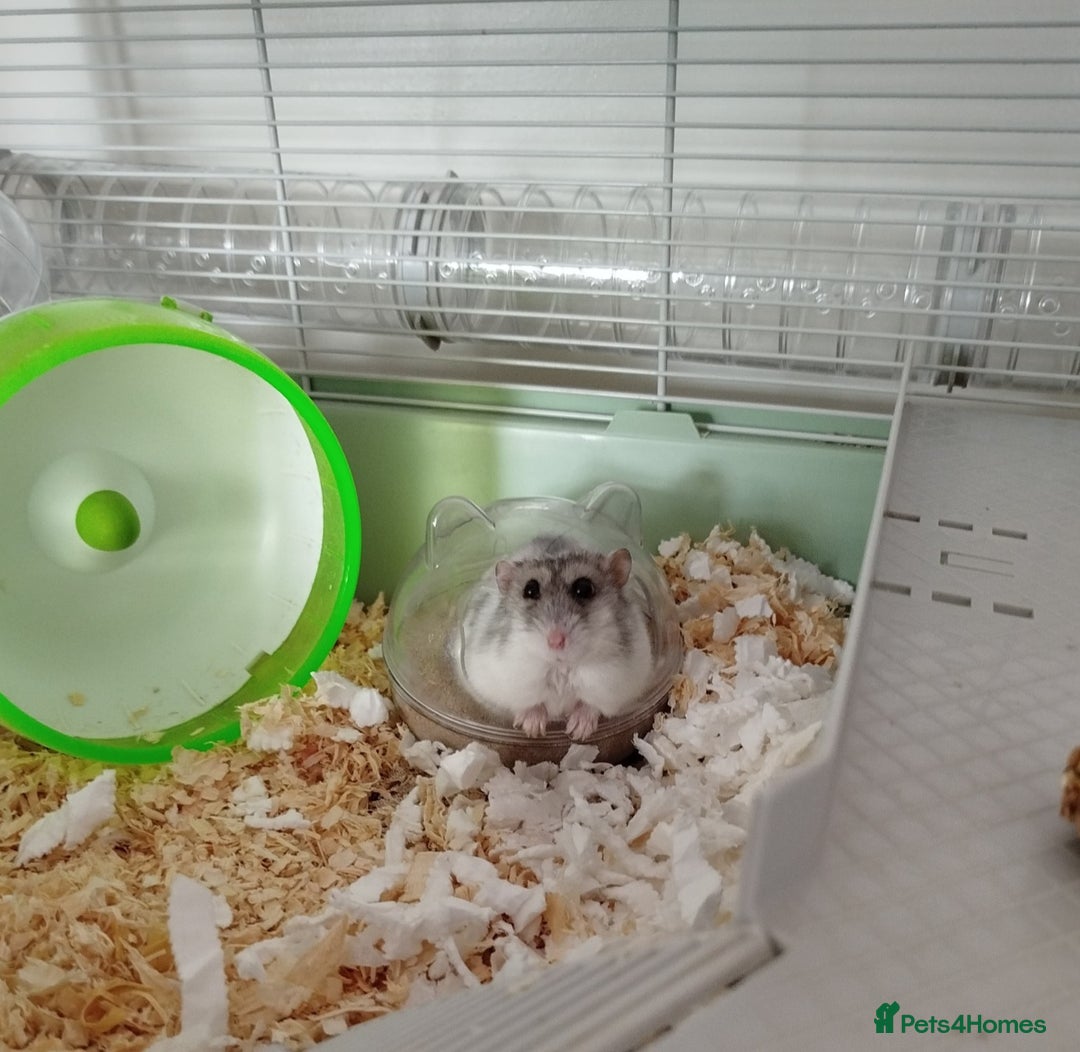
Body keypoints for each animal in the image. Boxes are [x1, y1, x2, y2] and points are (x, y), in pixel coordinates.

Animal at [452, 535, 655, 740]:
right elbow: (530, 704)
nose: (556, 641)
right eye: (529, 590)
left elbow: (590, 705)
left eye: (584, 588)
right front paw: (533, 730)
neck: (560, 667)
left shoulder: (613, 687)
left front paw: (577, 731)